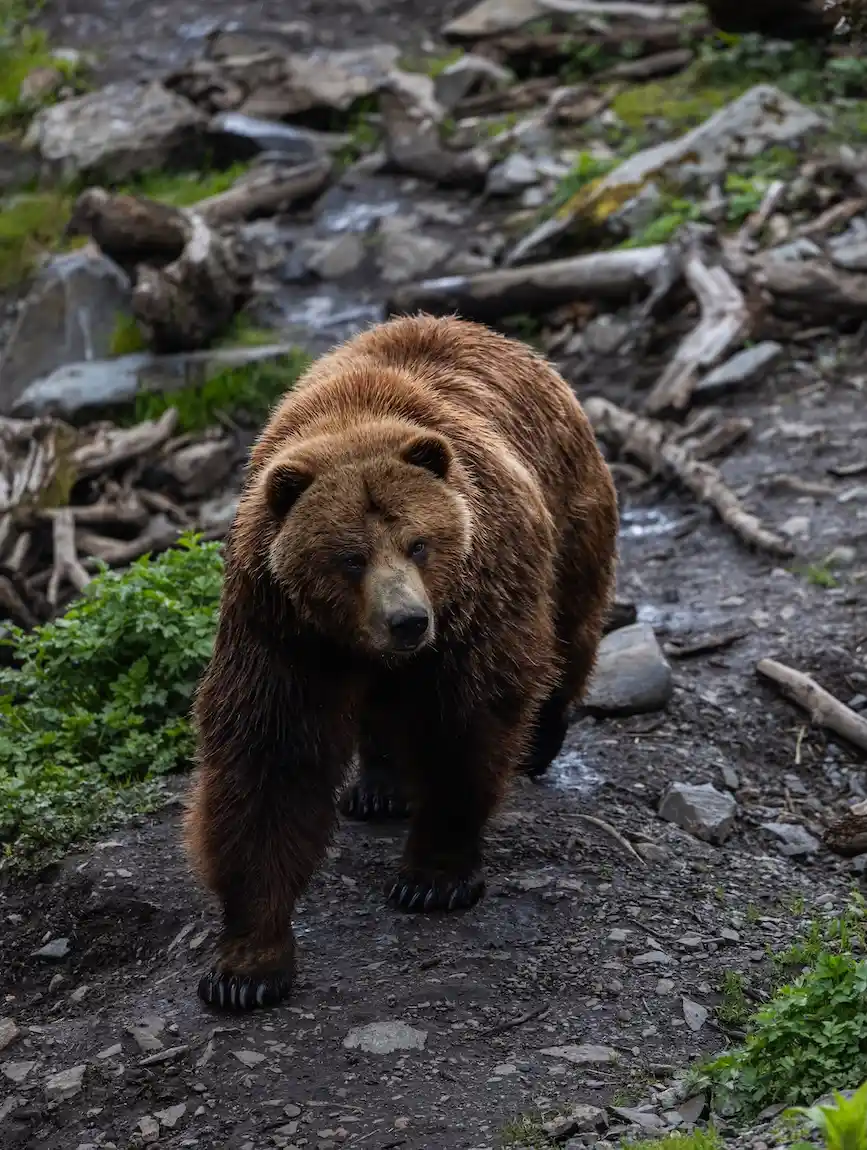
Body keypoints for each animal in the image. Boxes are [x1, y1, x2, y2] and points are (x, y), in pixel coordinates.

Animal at [184, 313, 618, 1011]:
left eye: (419, 543)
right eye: (350, 557)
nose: (408, 621)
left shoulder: (477, 597)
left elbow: (466, 725)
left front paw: (433, 876)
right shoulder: (281, 628)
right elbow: (270, 757)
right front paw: (246, 966)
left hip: (568, 515)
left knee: (569, 629)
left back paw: (541, 738)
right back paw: (378, 786)